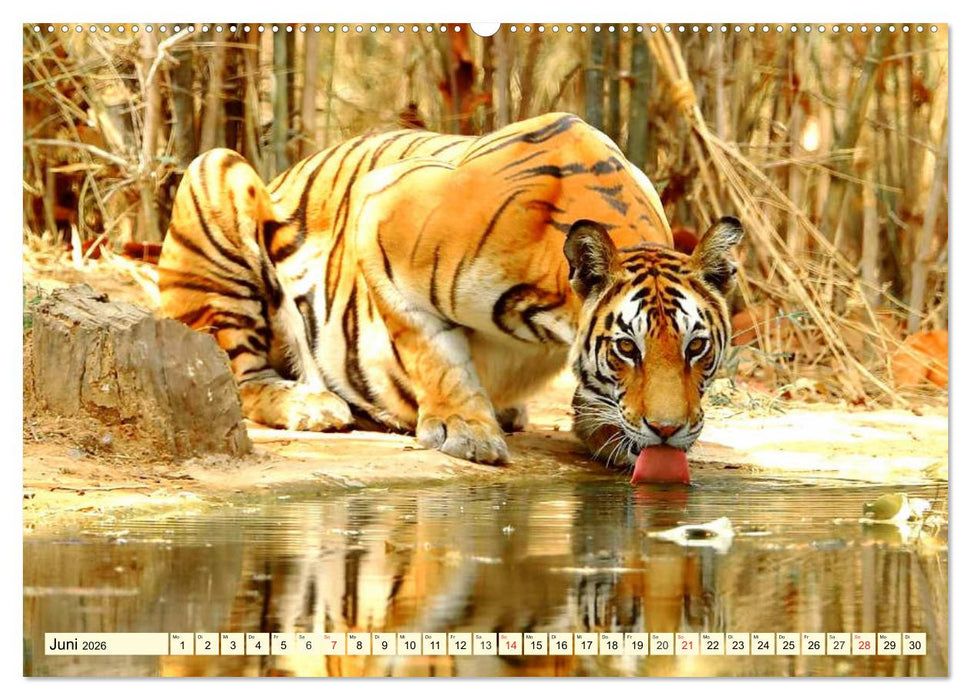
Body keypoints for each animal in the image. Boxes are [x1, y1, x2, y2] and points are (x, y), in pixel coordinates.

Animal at [158, 112, 742, 470]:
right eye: (627, 348)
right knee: (237, 378)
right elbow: (433, 352)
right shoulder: (380, 216)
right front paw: (467, 432)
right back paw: (312, 405)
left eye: (696, 347)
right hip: (215, 174)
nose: (666, 431)